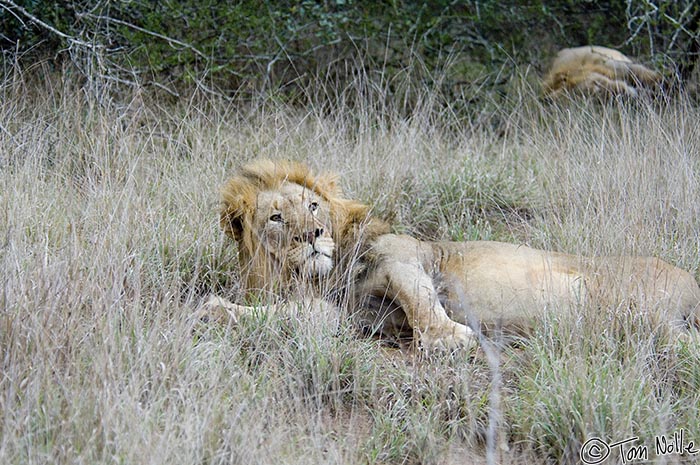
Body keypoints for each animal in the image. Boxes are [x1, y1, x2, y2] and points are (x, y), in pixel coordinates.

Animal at [194, 159, 700, 348]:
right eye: (277, 218)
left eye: (314, 206)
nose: (315, 234)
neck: (325, 273)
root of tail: (690, 279)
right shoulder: (341, 314)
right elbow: (285, 317)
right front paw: (213, 311)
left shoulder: (404, 259)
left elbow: (420, 302)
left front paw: (449, 336)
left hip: (645, 313)